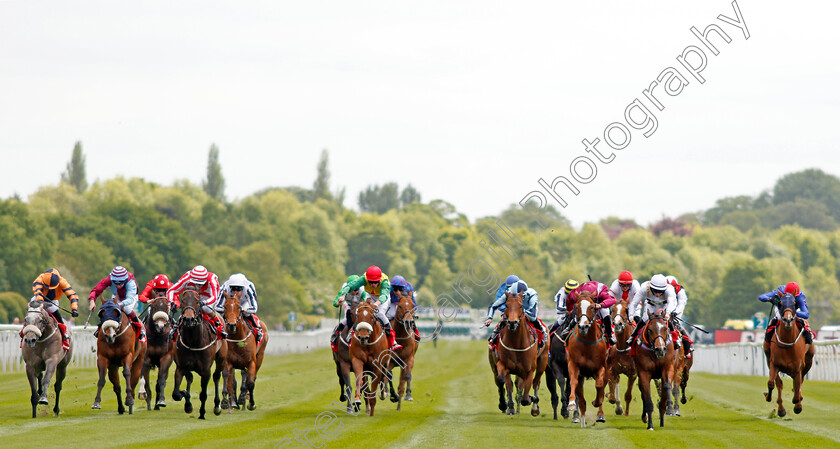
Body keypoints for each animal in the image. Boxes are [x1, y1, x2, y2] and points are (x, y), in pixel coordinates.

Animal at [172, 286, 228, 418]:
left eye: (197, 301)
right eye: (183, 300)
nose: (188, 319)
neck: (193, 341)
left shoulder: (205, 371)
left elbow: (203, 394)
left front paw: (202, 414)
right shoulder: (181, 366)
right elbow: (176, 393)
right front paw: (185, 397)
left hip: (221, 359)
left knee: (217, 376)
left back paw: (217, 406)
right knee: (190, 378)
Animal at [564, 296, 612, 426]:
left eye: (592, 307)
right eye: (577, 307)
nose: (583, 326)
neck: (588, 343)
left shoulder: (601, 367)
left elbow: (599, 385)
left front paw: (596, 402)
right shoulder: (573, 365)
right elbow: (573, 382)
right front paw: (571, 404)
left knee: (602, 387)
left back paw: (600, 414)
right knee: (582, 401)